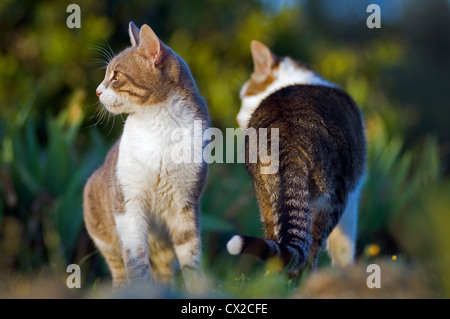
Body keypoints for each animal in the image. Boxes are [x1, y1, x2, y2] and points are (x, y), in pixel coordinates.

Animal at [83, 21, 210, 288]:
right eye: (106, 74)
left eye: (116, 75)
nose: (97, 91)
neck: (159, 125)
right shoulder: (128, 203)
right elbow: (135, 257)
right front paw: (139, 287)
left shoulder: (185, 203)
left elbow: (190, 254)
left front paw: (198, 288)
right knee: (118, 269)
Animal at [229, 41, 366, 278]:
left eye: (244, 97)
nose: (237, 117)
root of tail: (286, 134)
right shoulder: (352, 196)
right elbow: (343, 249)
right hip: (333, 199)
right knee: (310, 250)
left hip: (265, 198)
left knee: (277, 249)